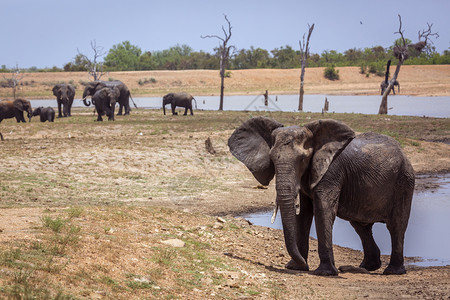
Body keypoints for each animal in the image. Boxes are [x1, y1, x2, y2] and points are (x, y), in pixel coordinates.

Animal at [229, 116, 414, 276]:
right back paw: (368, 266)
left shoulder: (331, 170)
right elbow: (303, 214)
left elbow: (322, 210)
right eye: (272, 159)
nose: (301, 262)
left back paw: (393, 271)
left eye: (302, 159)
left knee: (396, 225)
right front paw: (297, 267)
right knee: (361, 226)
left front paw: (325, 273)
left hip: (404, 181)